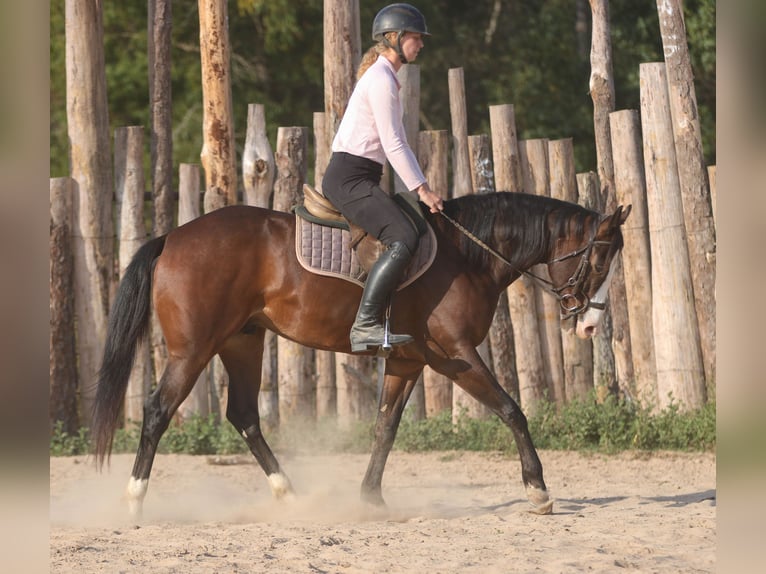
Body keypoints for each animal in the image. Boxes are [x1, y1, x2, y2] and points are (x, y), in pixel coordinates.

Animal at [92, 190, 630, 519]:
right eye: (600, 258)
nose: (589, 323)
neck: (466, 256)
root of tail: (172, 237)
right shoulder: (455, 355)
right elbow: (511, 410)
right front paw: (538, 490)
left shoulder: (409, 361)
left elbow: (386, 427)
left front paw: (369, 497)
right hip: (195, 349)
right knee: (158, 410)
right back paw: (134, 502)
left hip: (241, 342)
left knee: (243, 415)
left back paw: (290, 495)